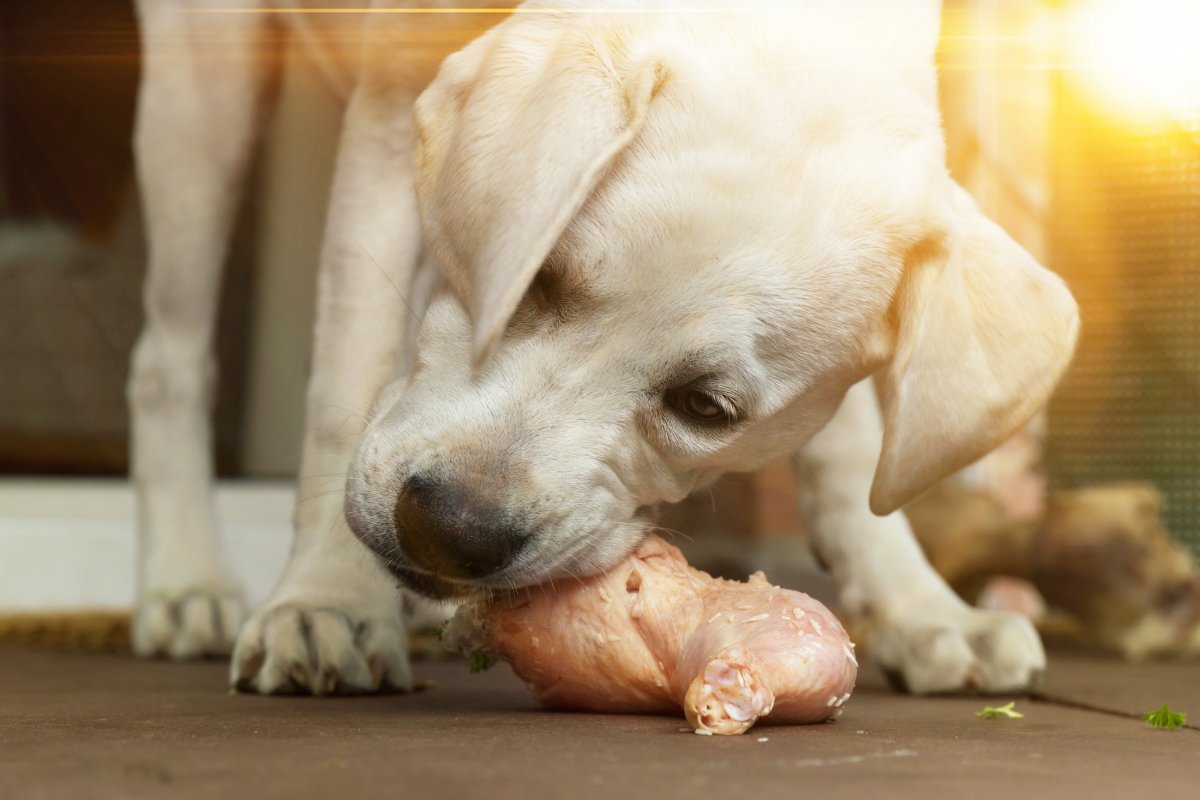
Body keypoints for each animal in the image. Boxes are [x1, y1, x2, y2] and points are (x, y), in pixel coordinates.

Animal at [131, 0, 1080, 695]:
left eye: (707, 407)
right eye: (536, 277)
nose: (448, 532)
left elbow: (850, 455)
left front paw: (922, 610)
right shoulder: (394, 104)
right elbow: (348, 376)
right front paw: (325, 600)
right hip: (198, 90)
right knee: (169, 355)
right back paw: (186, 585)